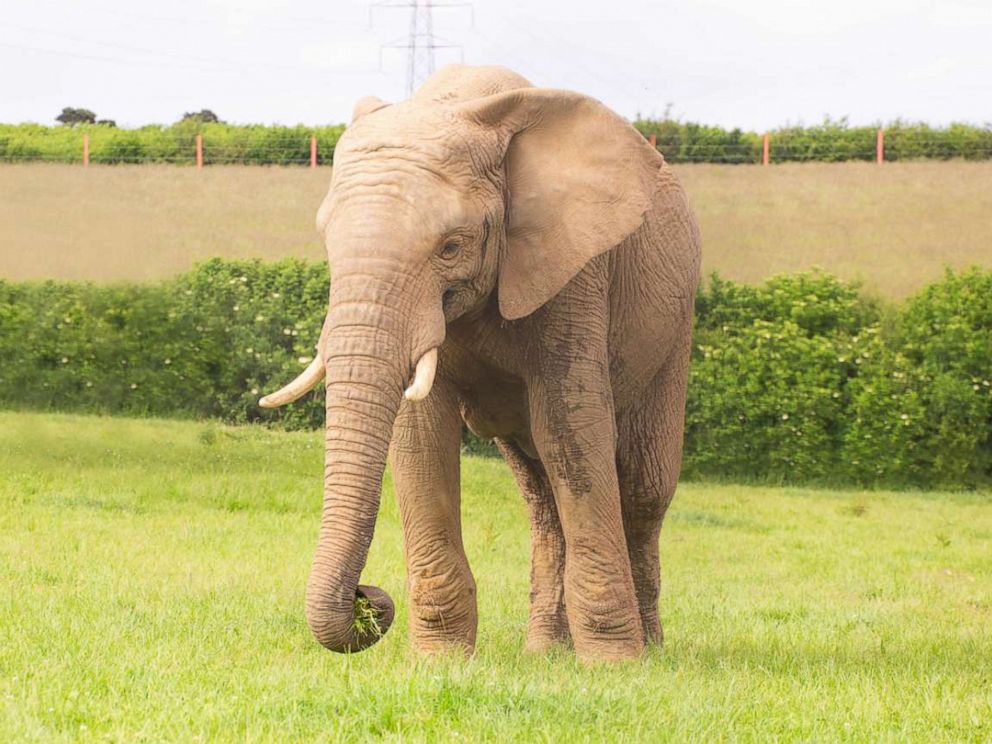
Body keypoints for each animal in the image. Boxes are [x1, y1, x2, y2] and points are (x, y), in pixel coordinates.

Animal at [260, 62, 700, 656]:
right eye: (326, 242)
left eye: (451, 246)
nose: (366, 598)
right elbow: (422, 437)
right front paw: (440, 662)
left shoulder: (575, 271)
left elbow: (571, 426)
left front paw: (615, 665)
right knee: (541, 495)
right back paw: (546, 653)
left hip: (675, 329)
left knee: (642, 486)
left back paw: (647, 651)